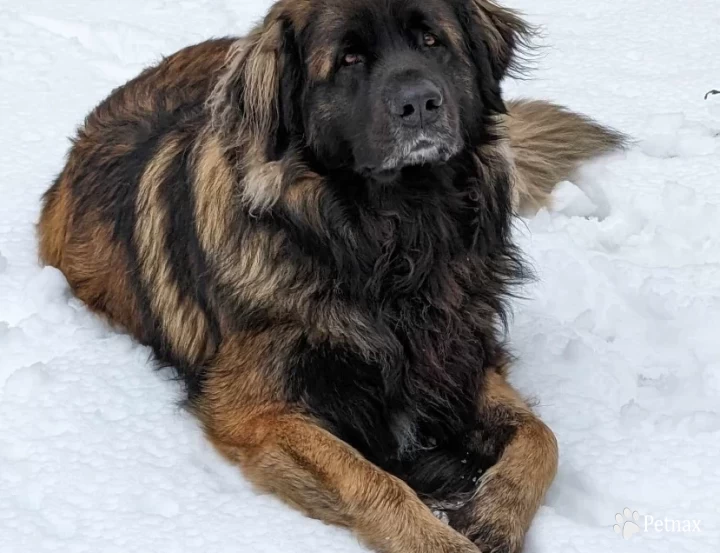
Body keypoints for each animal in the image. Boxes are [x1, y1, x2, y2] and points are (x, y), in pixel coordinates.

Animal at [38, 1, 624, 552]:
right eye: (348, 60)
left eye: (431, 41)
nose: (420, 104)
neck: (393, 244)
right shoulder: (258, 414)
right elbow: (372, 480)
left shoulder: (459, 362)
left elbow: (541, 437)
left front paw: (493, 514)